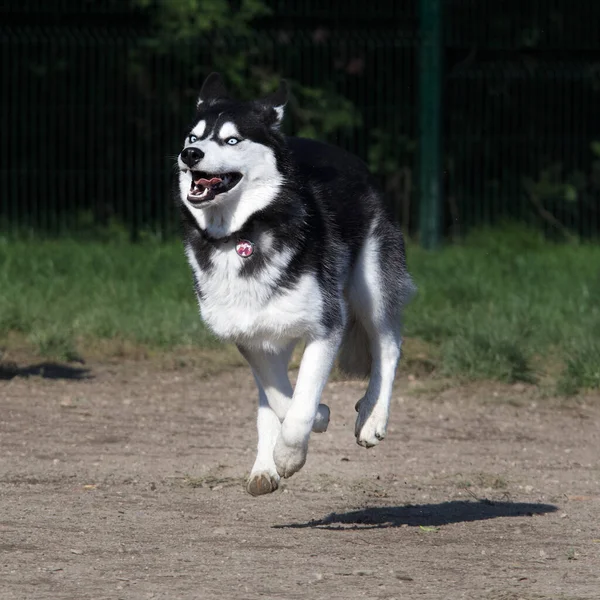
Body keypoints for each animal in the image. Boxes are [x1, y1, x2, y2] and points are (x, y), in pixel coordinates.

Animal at [176, 74, 414, 496]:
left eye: (232, 140)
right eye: (193, 136)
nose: (190, 155)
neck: (244, 231)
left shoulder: (326, 326)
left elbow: (300, 402)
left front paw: (291, 452)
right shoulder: (248, 333)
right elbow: (280, 397)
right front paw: (309, 425)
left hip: (370, 286)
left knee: (387, 345)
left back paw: (372, 417)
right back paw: (263, 467)